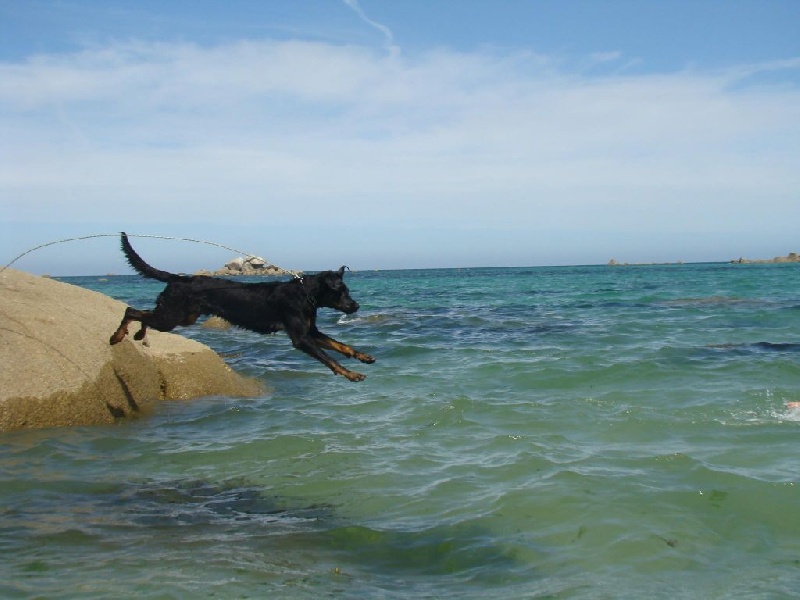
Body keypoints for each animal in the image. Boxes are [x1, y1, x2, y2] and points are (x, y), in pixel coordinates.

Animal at [108, 232, 376, 382]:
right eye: (341, 291)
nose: (355, 306)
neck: (305, 294)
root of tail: (179, 279)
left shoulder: (311, 331)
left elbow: (340, 345)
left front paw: (362, 357)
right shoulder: (301, 338)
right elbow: (329, 358)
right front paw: (350, 374)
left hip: (182, 317)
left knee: (144, 315)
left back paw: (138, 334)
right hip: (172, 315)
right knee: (131, 311)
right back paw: (117, 336)